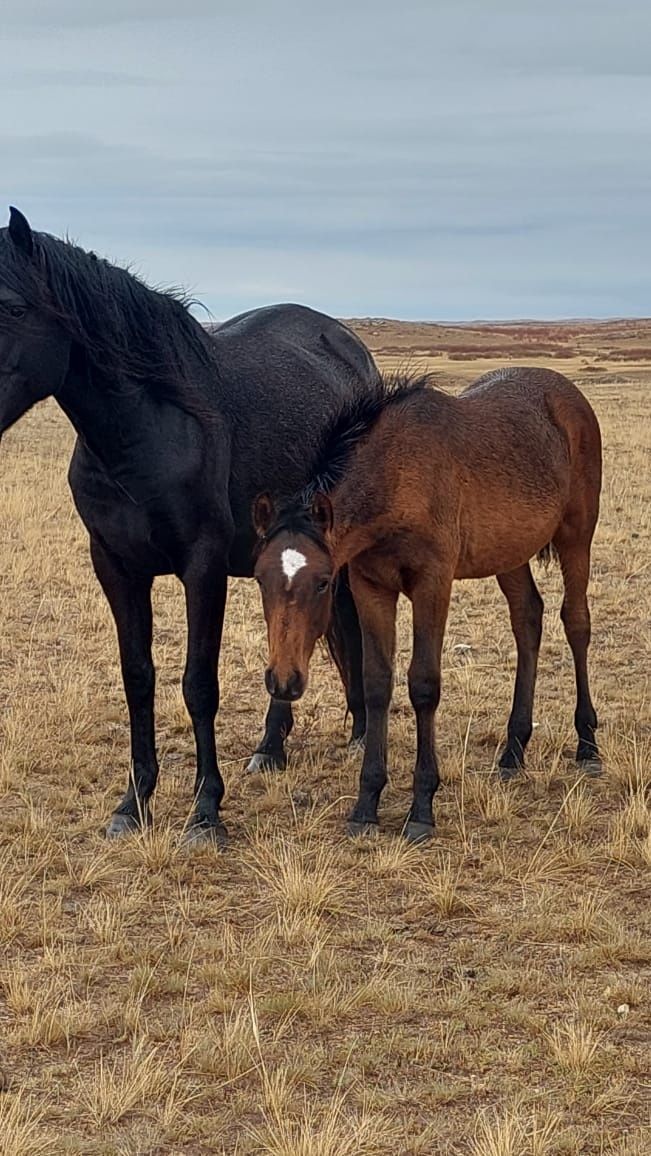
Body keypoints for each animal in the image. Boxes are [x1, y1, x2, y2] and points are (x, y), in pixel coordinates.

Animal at [0, 205, 376, 841]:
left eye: (17, 308)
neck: (145, 432)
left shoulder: (202, 567)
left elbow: (199, 685)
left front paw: (205, 811)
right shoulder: (115, 567)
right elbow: (138, 679)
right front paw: (133, 803)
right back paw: (273, 747)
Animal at [252, 367, 605, 841]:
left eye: (324, 582)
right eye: (260, 579)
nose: (283, 681)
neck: (396, 476)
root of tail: (568, 393)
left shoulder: (432, 585)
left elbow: (423, 685)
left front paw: (421, 806)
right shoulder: (371, 587)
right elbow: (377, 683)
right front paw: (366, 803)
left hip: (576, 537)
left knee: (576, 622)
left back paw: (587, 744)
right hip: (509, 554)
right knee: (528, 619)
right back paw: (513, 750)